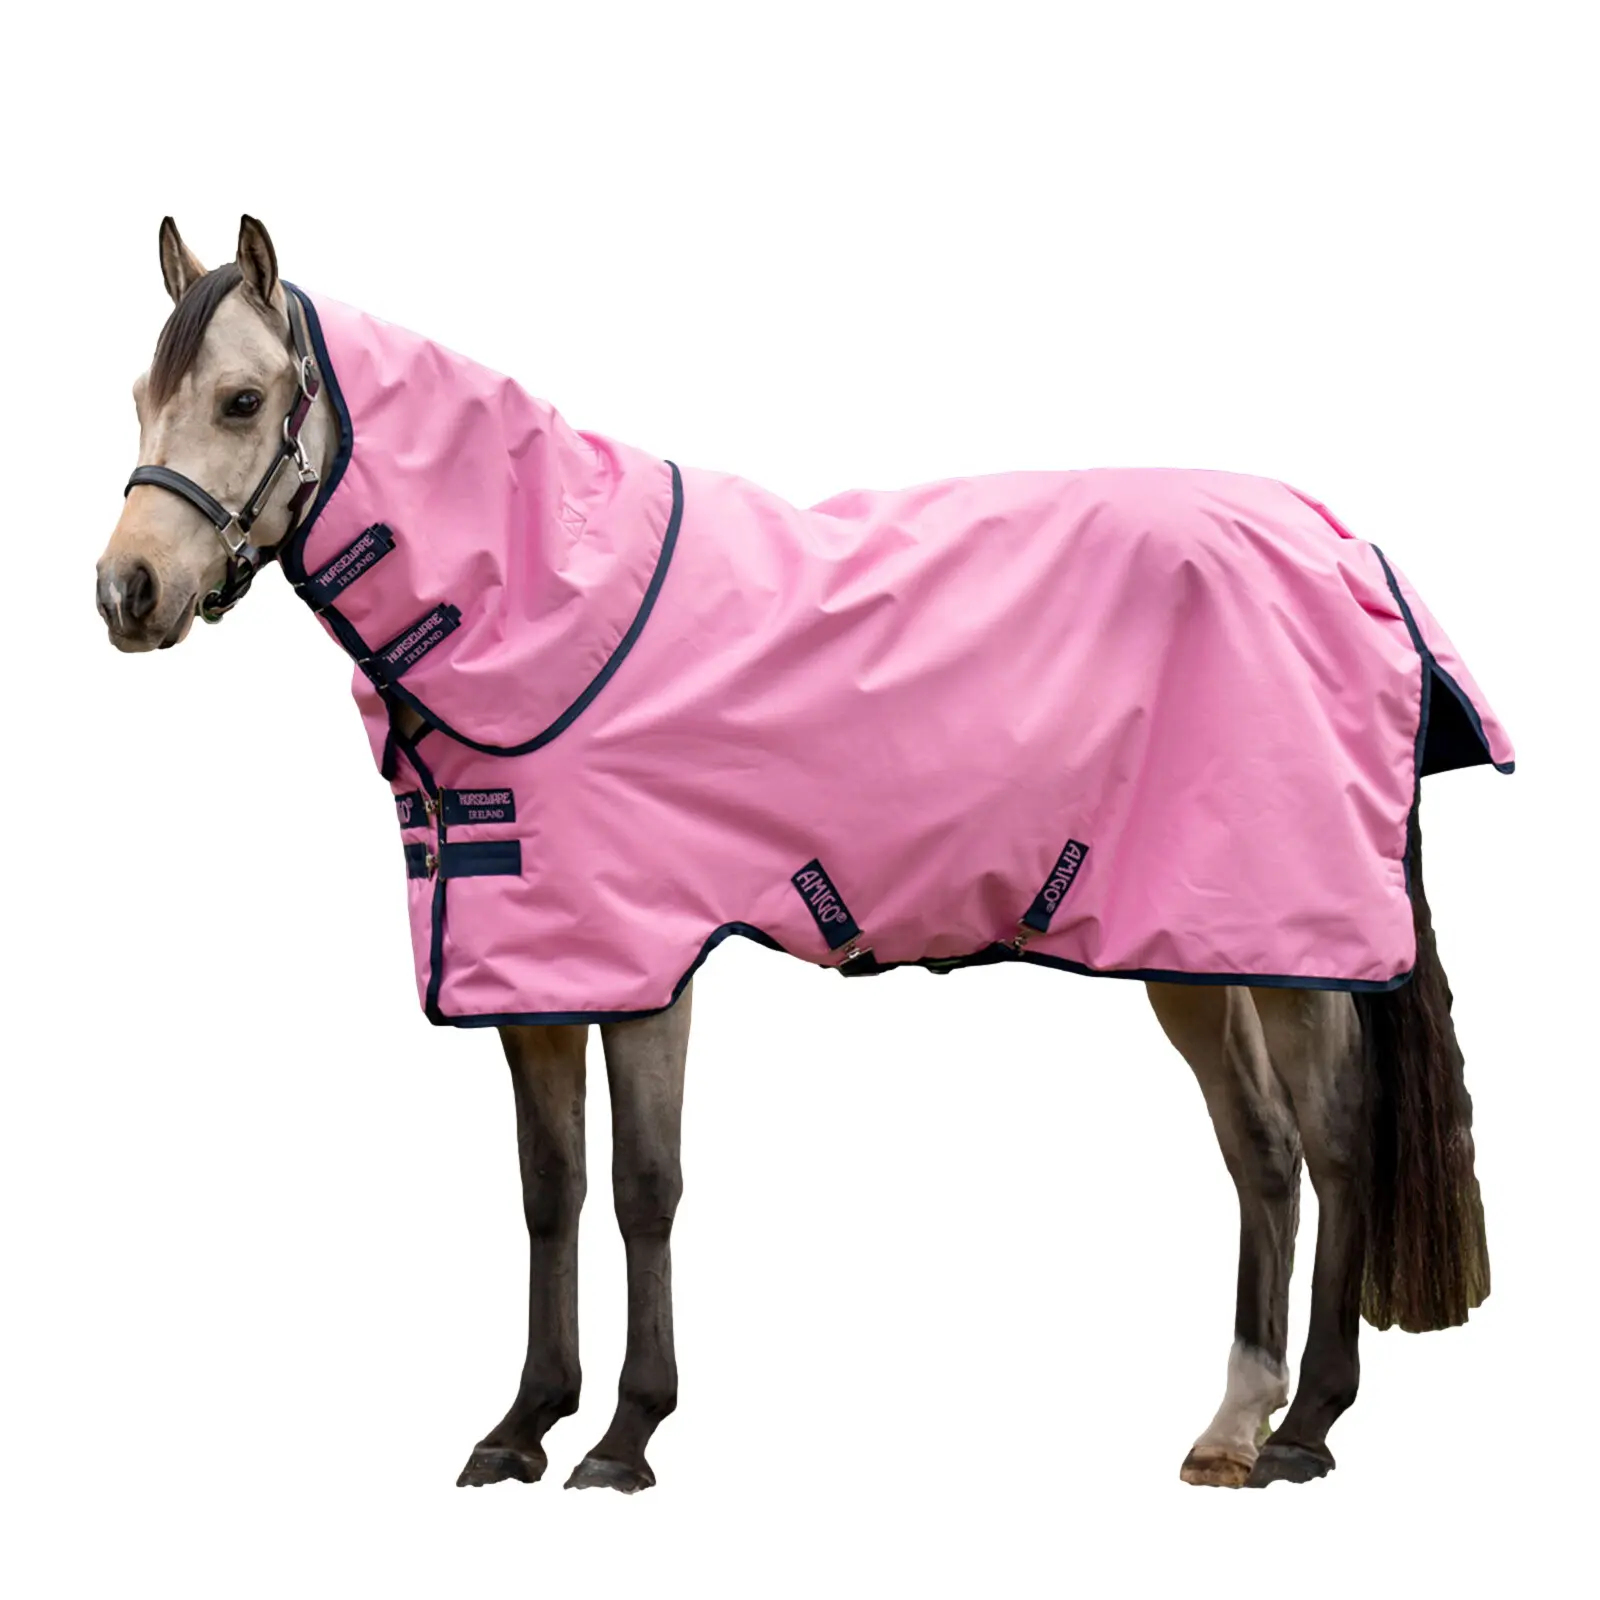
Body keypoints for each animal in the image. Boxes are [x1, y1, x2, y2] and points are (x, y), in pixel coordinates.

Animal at [94, 214, 1504, 1493]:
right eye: (140, 398)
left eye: (239, 399)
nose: (126, 593)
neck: (543, 602)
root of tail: (1344, 542)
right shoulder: (536, 969)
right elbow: (549, 1187)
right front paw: (521, 1424)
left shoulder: (645, 961)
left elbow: (642, 1185)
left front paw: (623, 1437)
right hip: (1190, 946)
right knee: (1260, 1152)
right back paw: (1232, 1425)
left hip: (1289, 943)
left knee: (1334, 1141)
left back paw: (1308, 1425)